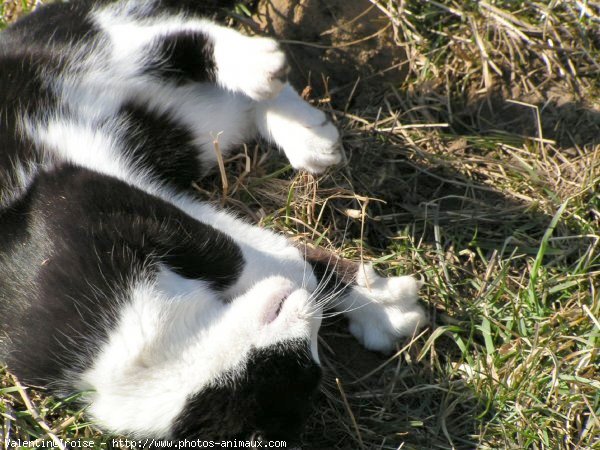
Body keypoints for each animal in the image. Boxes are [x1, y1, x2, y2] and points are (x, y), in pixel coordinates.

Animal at [0, 0, 426, 442]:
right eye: (305, 357)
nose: (314, 311)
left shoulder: (78, 198)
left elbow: (234, 252)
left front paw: (379, 303)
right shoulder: (152, 203)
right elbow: (258, 249)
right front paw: (369, 299)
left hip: (108, 58)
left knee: (171, 35)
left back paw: (269, 78)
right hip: (193, 129)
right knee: (231, 100)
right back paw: (303, 131)